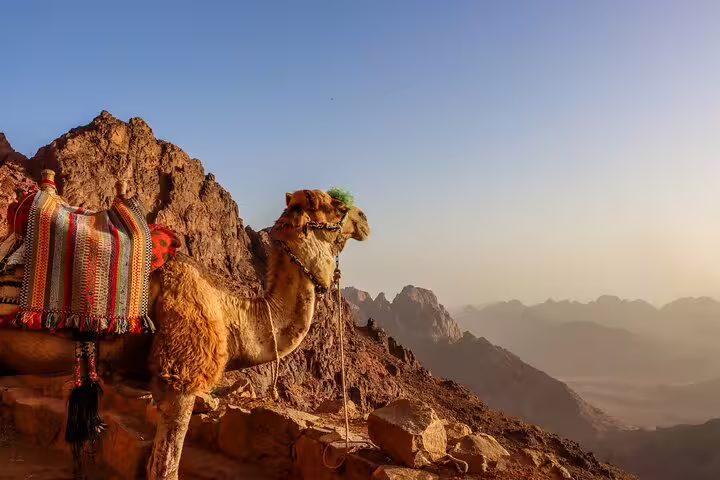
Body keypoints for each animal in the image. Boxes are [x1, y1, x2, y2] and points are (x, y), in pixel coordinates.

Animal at [0, 186, 371, 480]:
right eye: (335, 205)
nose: (364, 219)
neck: (229, 311)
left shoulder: (148, 374)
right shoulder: (182, 372)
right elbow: (164, 469)